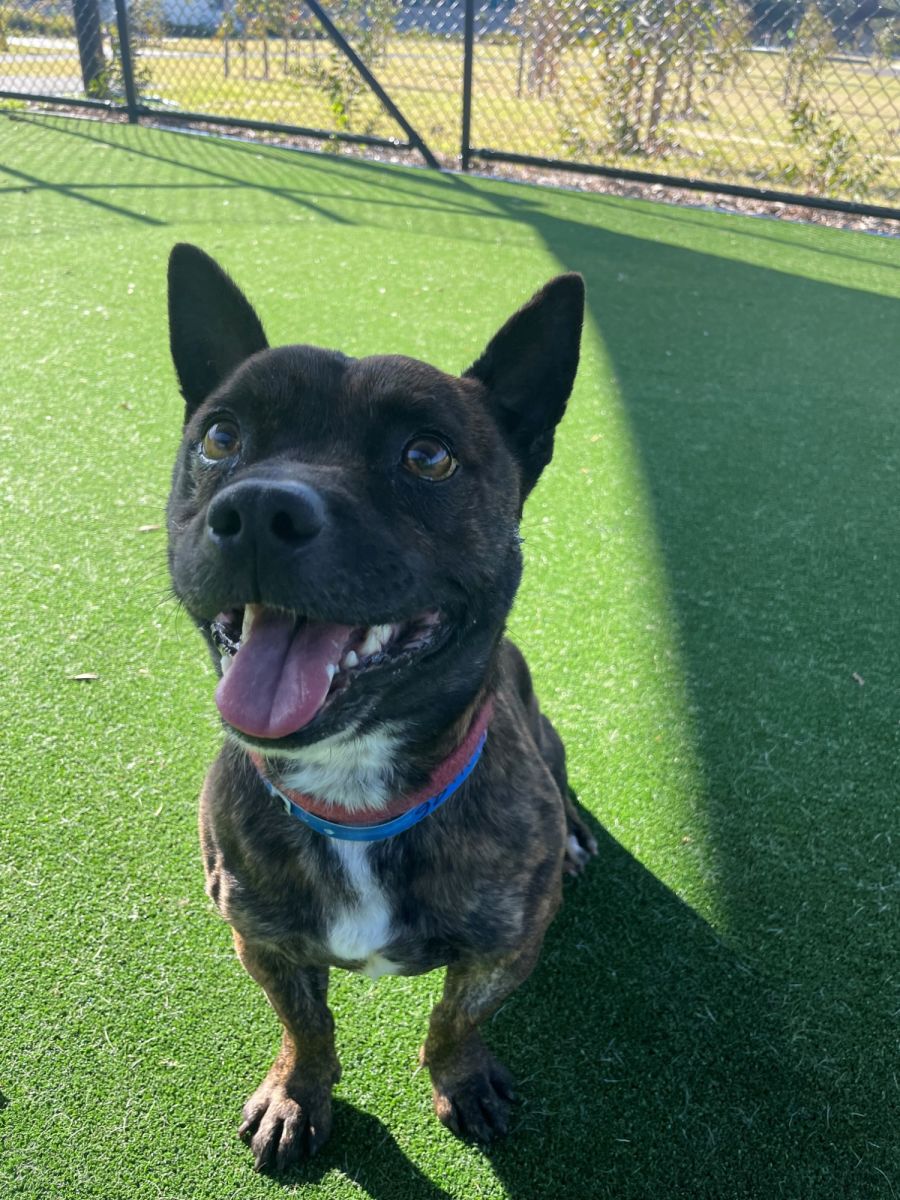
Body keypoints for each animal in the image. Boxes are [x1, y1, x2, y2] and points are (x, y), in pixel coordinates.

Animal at [166, 243, 596, 1172]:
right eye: (221, 437)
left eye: (427, 457)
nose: (259, 507)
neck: (354, 792)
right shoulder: (262, 941)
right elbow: (308, 1023)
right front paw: (298, 1093)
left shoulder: (507, 948)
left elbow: (452, 1018)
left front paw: (461, 1079)